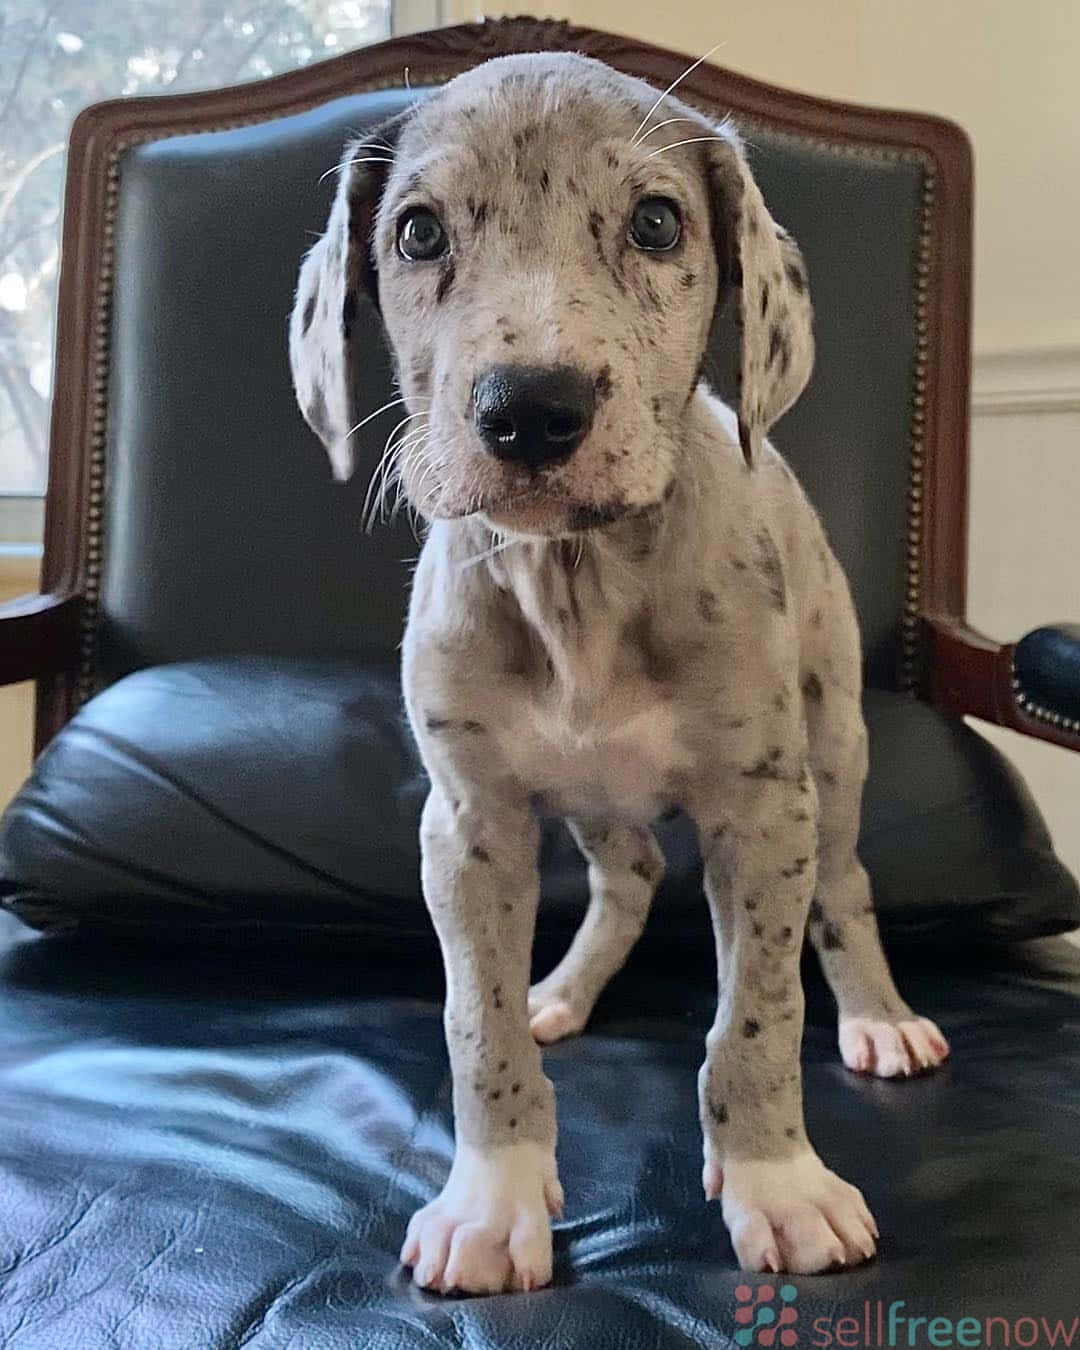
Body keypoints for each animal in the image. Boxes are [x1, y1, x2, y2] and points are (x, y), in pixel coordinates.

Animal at [291, 52, 950, 1290]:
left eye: (656, 222)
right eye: (417, 233)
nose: (530, 410)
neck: (579, 580)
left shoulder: (763, 812)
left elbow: (759, 1014)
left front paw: (778, 1182)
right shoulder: (470, 821)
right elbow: (476, 1023)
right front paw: (491, 1197)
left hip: (832, 749)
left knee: (843, 887)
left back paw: (878, 1014)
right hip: (591, 796)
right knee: (631, 873)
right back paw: (563, 989)